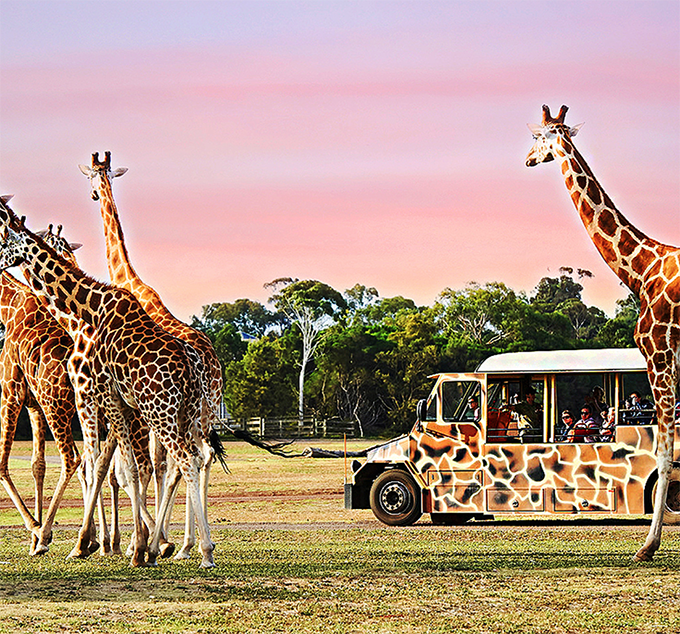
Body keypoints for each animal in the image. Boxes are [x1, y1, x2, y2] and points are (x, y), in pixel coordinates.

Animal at [0, 272, 80, 552]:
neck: (8, 306)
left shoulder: (10, 391)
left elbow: (1, 463)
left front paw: (37, 530)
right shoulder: (33, 404)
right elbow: (38, 465)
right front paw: (34, 542)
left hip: (56, 405)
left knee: (73, 459)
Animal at [79, 151, 223, 556]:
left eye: (93, 180)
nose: (93, 195)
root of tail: (212, 363)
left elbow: (142, 466)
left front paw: (142, 542)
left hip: (182, 411)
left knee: (182, 460)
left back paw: (183, 544)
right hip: (204, 411)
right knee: (200, 457)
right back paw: (193, 543)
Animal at [524, 103, 680, 556]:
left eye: (537, 137)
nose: (527, 159)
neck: (640, 270)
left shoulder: (659, 353)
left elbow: (664, 453)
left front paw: (648, 545)